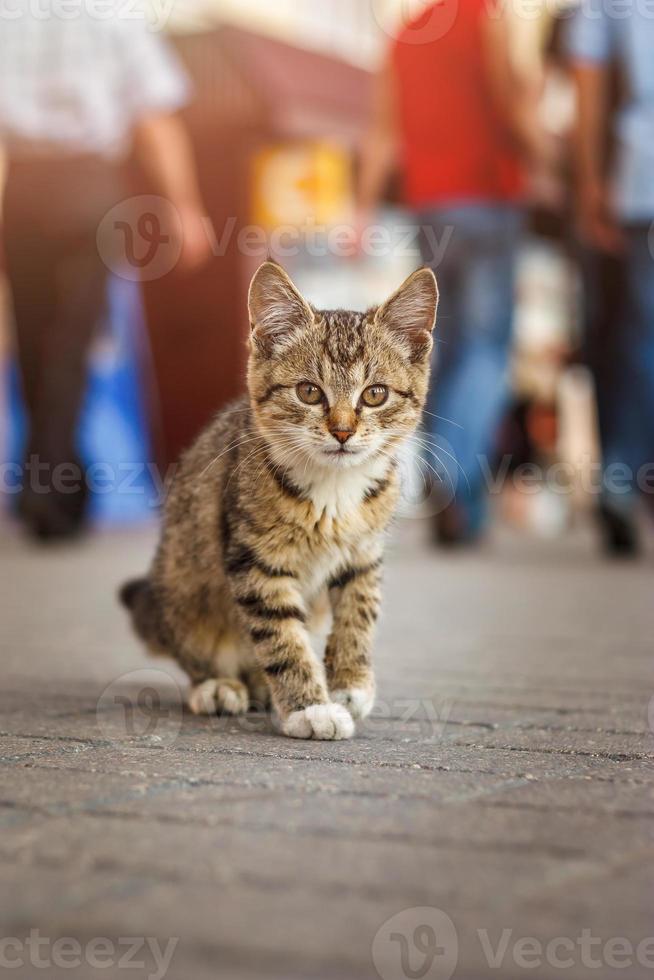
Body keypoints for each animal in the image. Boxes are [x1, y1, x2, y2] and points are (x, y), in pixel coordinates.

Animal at [123, 260, 440, 744]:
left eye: (375, 394)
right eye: (309, 392)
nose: (343, 431)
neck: (333, 489)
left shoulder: (363, 553)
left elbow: (359, 613)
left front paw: (348, 684)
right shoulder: (254, 559)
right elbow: (281, 636)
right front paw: (311, 707)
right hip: (182, 581)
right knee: (197, 647)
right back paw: (218, 686)